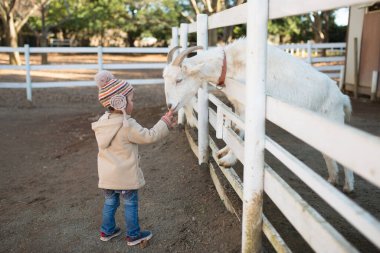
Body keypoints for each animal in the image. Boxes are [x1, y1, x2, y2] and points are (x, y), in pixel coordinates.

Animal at [163, 39, 354, 192]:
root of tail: (341, 97)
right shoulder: (238, 106)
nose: (170, 106)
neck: (232, 63)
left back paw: (348, 186)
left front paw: (228, 160)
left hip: (334, 120)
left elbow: (242, 132)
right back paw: (332, 180)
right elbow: (235, 130)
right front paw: (225, 152)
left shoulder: (249, 107)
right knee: (328, 154)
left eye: (179, 79)